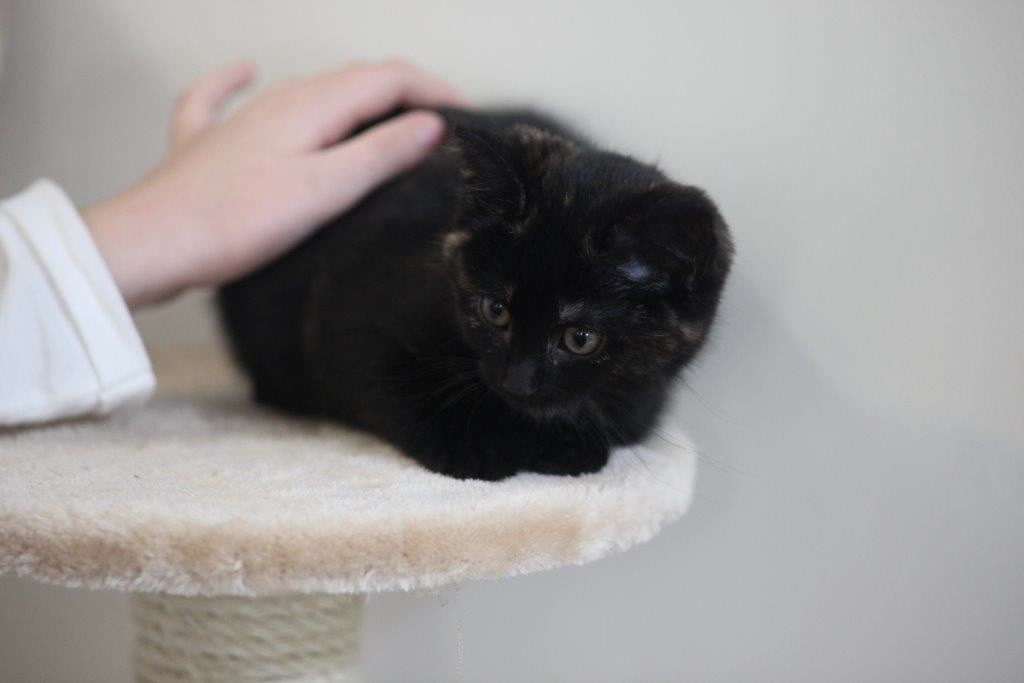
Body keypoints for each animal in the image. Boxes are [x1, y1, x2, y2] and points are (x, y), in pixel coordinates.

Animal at [217, 108, 734, 480]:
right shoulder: (345, 312)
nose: (517, 381)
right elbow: (386, 383)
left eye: (581, 338)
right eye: (495, 310)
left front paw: (571, 443)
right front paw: (467, 445)